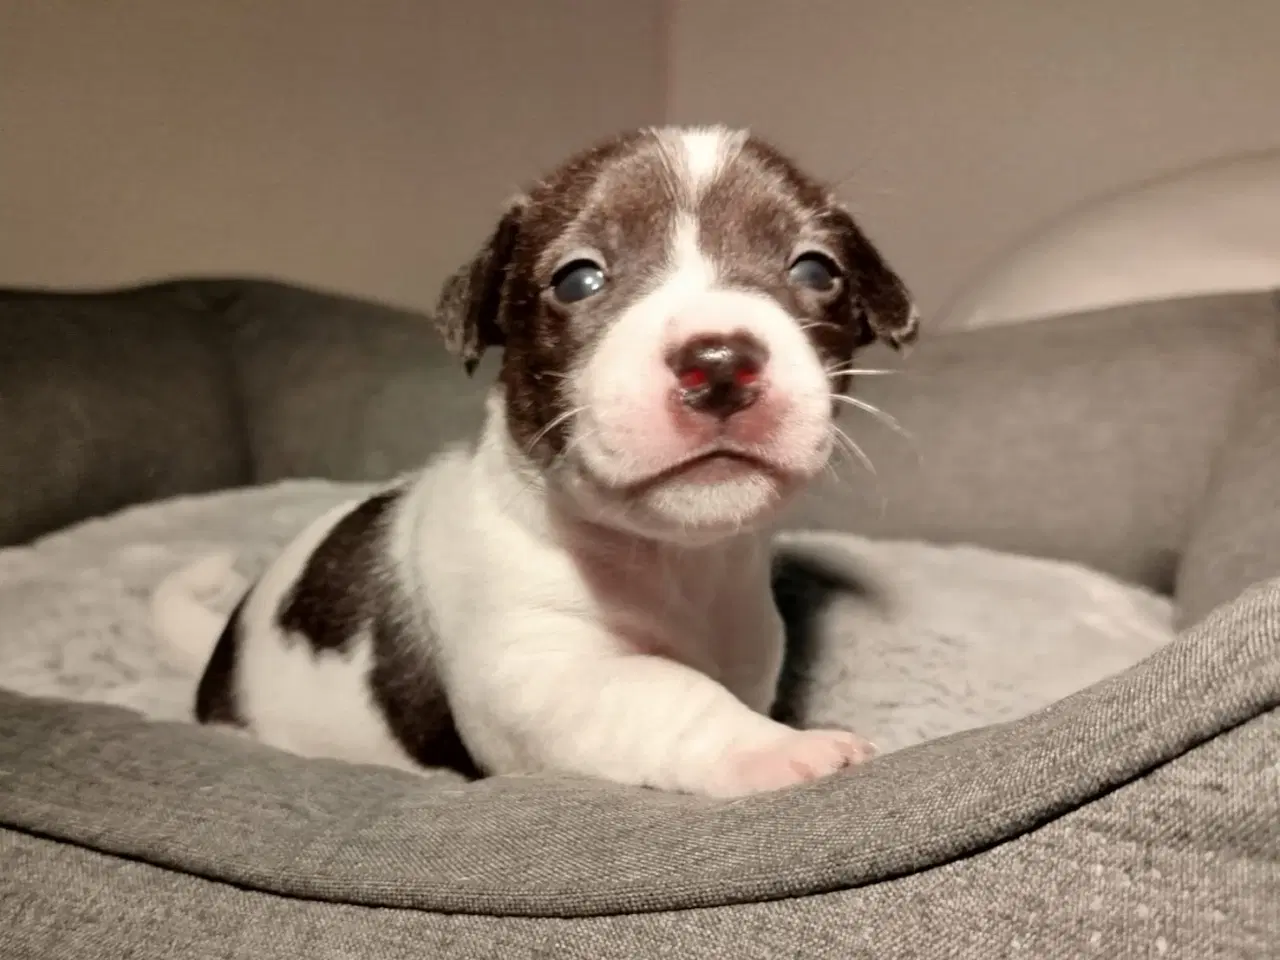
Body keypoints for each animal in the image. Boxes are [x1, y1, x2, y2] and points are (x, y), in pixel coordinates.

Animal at [157, 129, 921, 803]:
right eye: (578, 279)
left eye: (816, 270)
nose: (720, 363)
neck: (675, 565)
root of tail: (221, 652)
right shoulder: (538, 679)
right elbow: (667, 690)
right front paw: (779, 746)